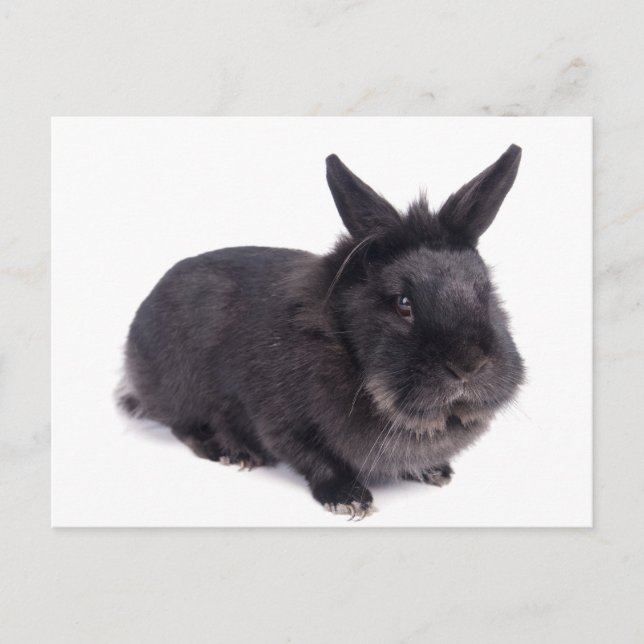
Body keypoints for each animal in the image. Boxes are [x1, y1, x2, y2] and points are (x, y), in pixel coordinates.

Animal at [117, 145, 525, 519]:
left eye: (485, 291)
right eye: (403, 303)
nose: (468, 365)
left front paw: (434, 471)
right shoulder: (279, 420)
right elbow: (312, 457)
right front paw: (349, 499)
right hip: (181, 386)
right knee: (182, 424)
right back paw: (229, 451)